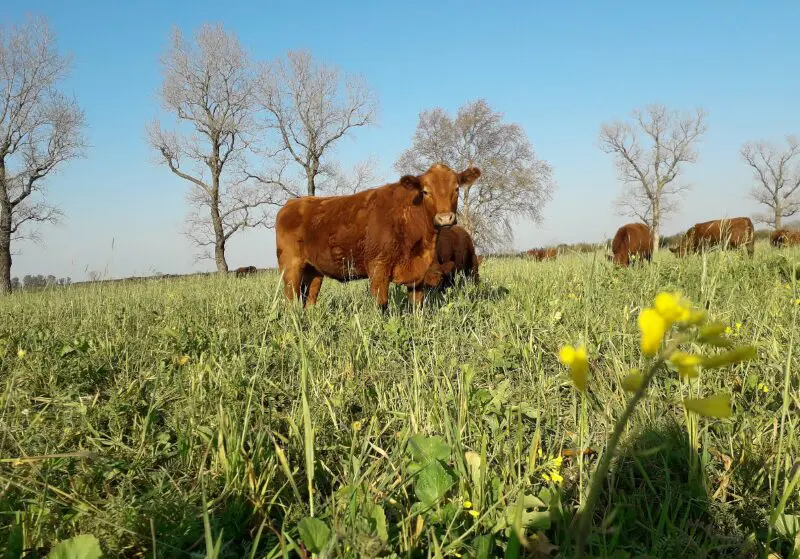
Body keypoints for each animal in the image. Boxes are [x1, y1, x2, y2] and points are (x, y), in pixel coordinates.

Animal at [275, 164, 482, 310]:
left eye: (456, 188)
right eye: (425, 191)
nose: (445, 218)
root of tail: (293, 203)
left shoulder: (418, 274)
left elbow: (417, 305)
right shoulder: (378, 267)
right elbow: (381, 305)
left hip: (314, 271)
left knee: (309, 300)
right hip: (290, 268)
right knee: (291, 301)